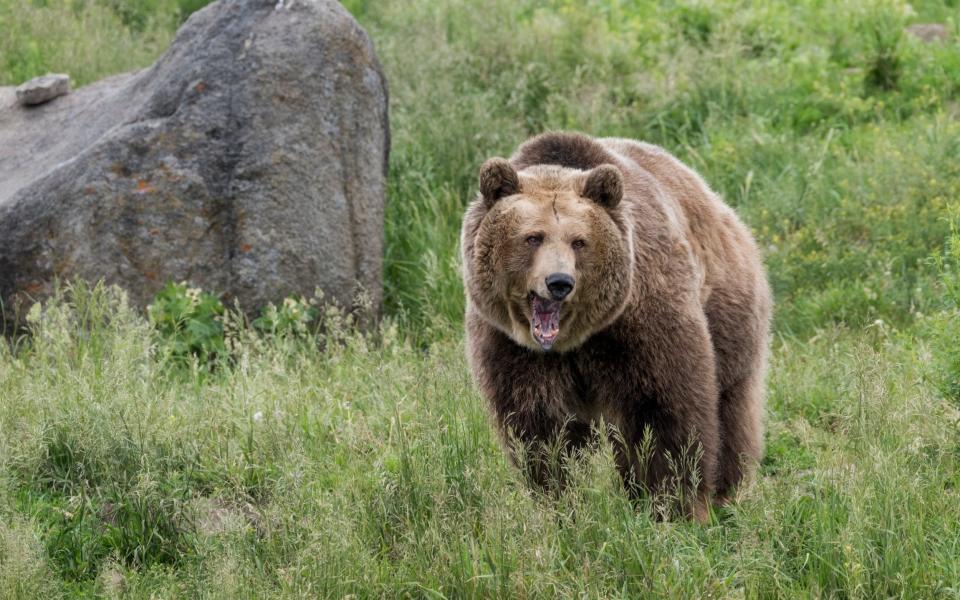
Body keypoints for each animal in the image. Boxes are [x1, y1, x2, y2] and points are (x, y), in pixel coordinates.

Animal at [460, 132, 772, 520]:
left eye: (579, 241)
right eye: (533, 237)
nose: (559, 282)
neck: (574, 340)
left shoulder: (640, 323)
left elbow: (664, 411)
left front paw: (672, 506)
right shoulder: (512, 346)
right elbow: (541, 429)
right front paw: (560, 501)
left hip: (728, 312)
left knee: (730, 408)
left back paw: (725, 492)